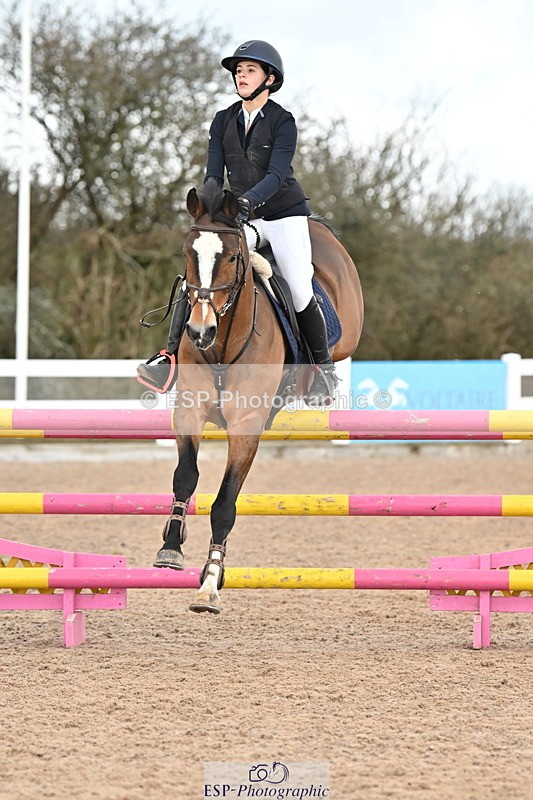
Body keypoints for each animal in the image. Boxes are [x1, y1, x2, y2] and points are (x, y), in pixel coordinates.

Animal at [153, 179, 364, 613]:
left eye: (234, 257)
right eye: (187, 253)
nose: (199, 332)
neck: (222, 344)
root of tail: (319, 228)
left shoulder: (246, 427)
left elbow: (224, 504)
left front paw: (210, 582)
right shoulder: (189, 412)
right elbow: (185, 476)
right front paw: (171, 547)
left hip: (346, 324)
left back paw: (324, 377)